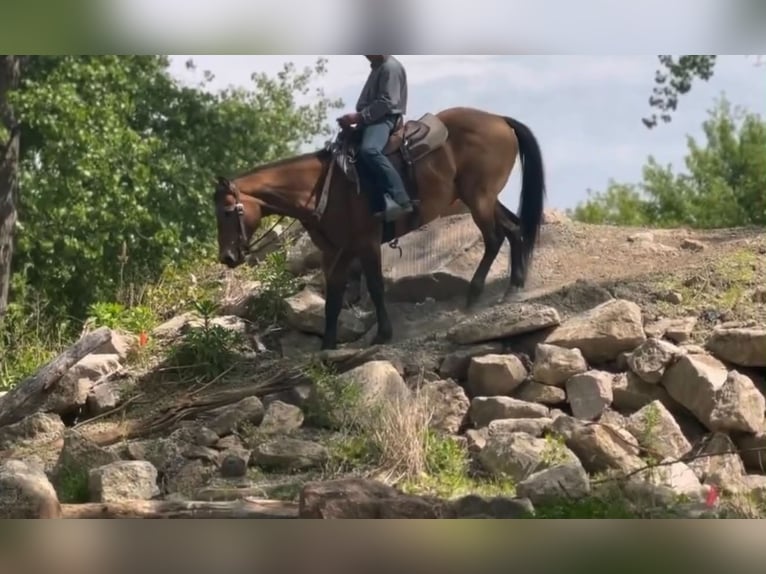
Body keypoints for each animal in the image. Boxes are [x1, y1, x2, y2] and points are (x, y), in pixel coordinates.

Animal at [212, 106, 546, 351]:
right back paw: (514, 286)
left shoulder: (366, 243)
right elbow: (333, 298)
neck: (322, 189)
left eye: (228, 212)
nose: (227, 257)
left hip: (478, 198)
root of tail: (499, 120)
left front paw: (383, 334)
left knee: (494, 238)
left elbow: (374, 286)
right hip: (482, 198)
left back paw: (475, 296)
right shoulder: (336, 253)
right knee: (514, 229)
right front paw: (327, 347)